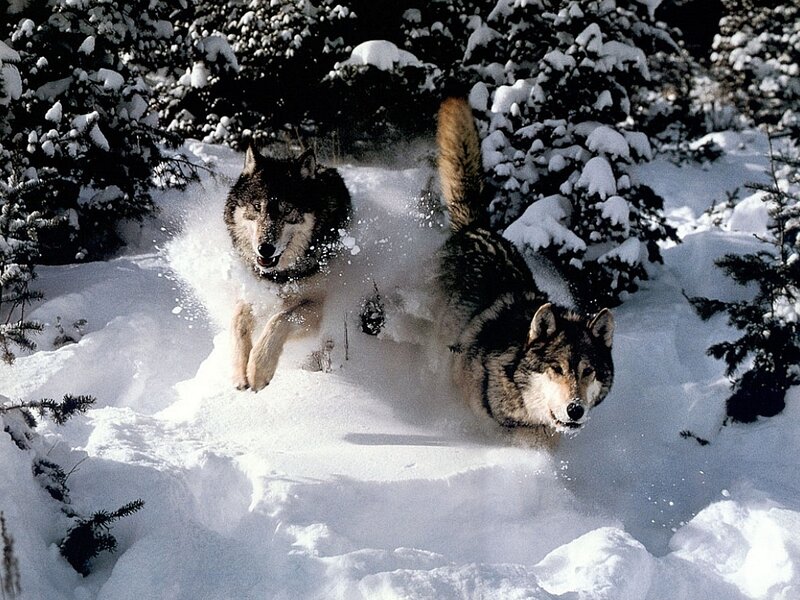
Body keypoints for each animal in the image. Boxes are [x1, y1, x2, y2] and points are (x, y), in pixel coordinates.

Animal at [224, 145, 351, 391]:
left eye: (287, 210)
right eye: (257, 207)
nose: (265, 249)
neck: (279, 276)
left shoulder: (318, 305)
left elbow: (279, 319)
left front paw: (258, 369)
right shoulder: (253, 293)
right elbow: (237, 322)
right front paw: (239, 372)